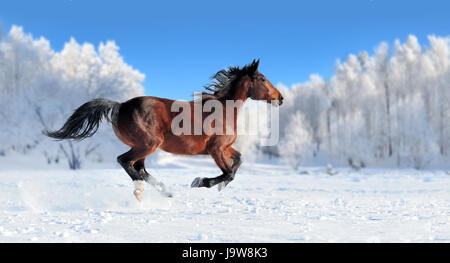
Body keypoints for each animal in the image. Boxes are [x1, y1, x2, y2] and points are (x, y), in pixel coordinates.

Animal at [45, 59, 284, 202]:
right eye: (262, 79)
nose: (280, 97)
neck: (223, 110)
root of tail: (120, 106)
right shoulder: (215, 149)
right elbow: (229, 173)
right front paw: (201, 182)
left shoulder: (225, 148)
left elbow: (238, 162)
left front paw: (218, 186)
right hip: (148, 144)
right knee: (125, 161)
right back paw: (142, 190)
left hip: (143, 147)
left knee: (139, 168)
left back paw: (165, 191)